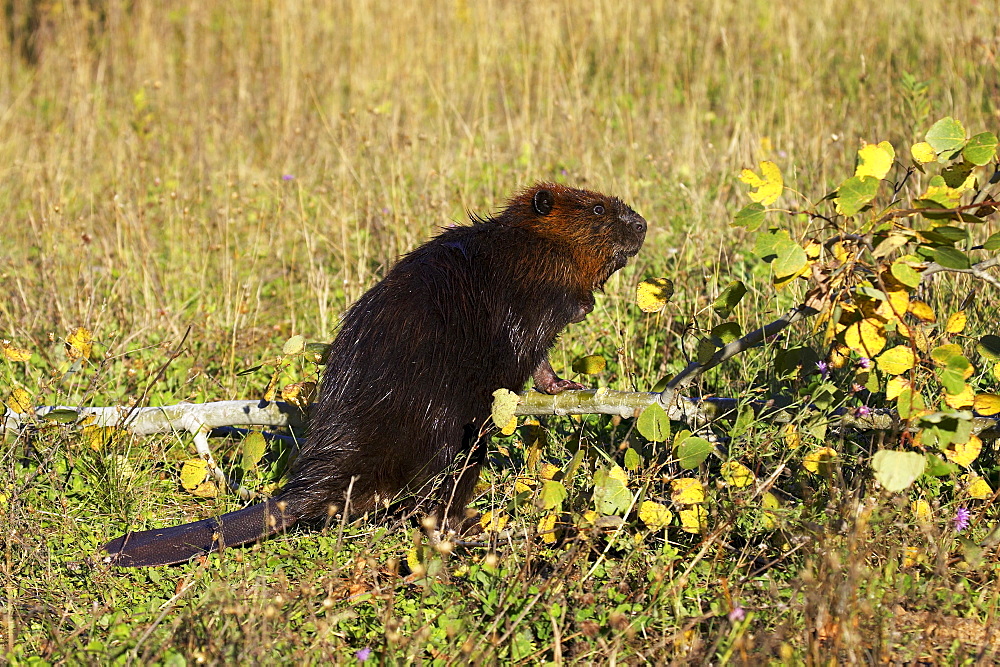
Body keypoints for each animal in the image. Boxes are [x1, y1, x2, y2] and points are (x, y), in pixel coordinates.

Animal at [103, 184, 648, 568]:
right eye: (597, 210)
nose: (641, 224)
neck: (519, 243)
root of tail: (305, 494)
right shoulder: (526, 288)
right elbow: (529, 340)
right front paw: (583, 311)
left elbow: (539, 362)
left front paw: (568, 386)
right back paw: (468, 529)